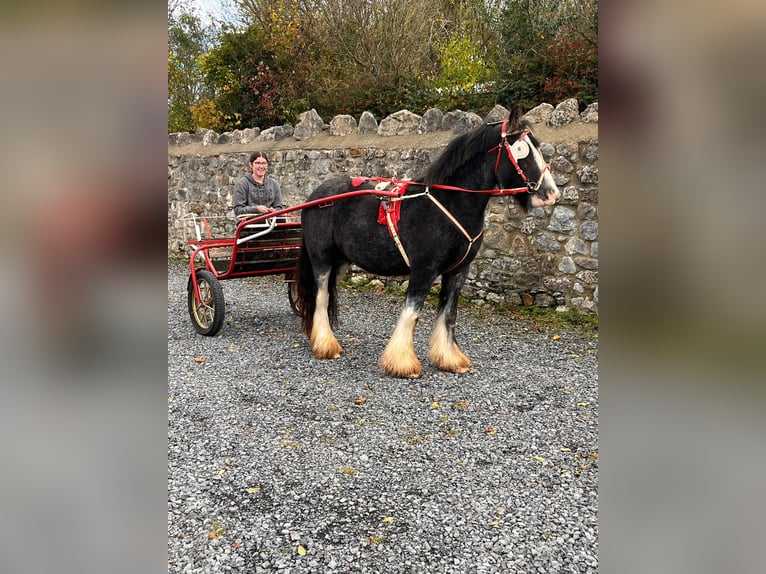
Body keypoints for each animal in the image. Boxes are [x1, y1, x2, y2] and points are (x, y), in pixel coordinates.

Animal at [294, 105, 560, 378]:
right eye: (521, 151)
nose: (551, 194)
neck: (450, 202)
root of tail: (315, 196)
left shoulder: (458, 272)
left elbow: (448, 314)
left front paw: (450, 359)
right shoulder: (424, 269)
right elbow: (412, 313)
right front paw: (402, 362)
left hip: (341, 262)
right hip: (322, 259)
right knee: (321, 297)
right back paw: (326, 345)